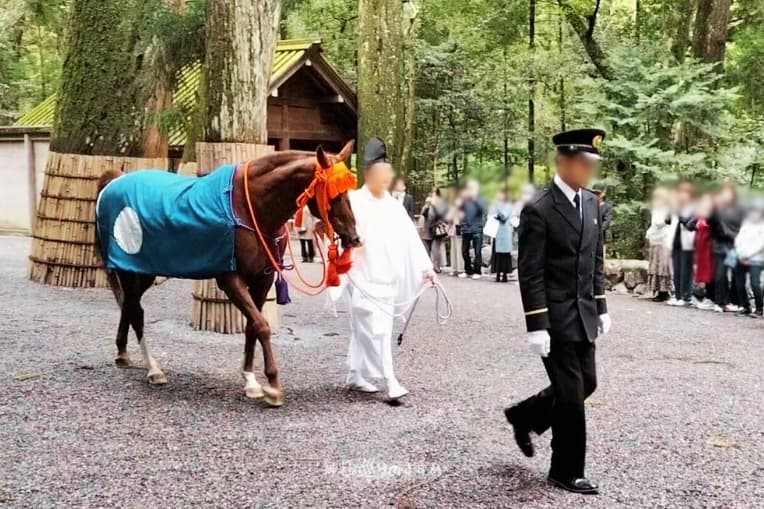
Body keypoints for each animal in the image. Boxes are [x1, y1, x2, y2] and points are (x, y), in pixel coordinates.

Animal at [95, 141, 360, 407]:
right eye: (334, 193)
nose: (354, 238)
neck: (250, 208)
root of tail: (116, 181)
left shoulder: (262, 279)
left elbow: (252, 326)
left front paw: (250, 379)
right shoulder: (231, 279)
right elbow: (261, 325)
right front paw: (272, 385)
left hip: (145, 270)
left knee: (129, 305)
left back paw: (123, 352)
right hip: (130, 268)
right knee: (136, 311)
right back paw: (153, 368)